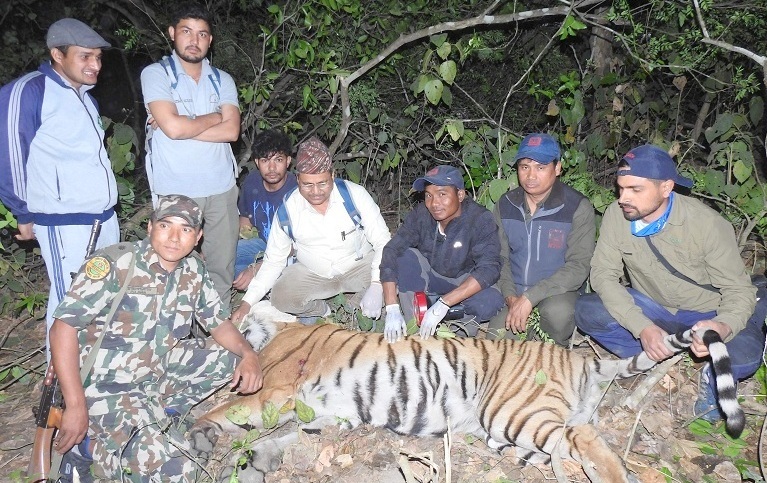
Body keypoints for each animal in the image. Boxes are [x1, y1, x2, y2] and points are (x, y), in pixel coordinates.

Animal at [189, 311, 744, 483]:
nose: (199, 333)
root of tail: (579, 358)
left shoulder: (275, 390)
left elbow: (227, 411)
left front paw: (197, 435)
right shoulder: (327, 417)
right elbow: (282, 439)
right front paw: (257, 460)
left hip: (513, 411)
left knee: (584, 435)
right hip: (508, 433)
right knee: (566, 445)